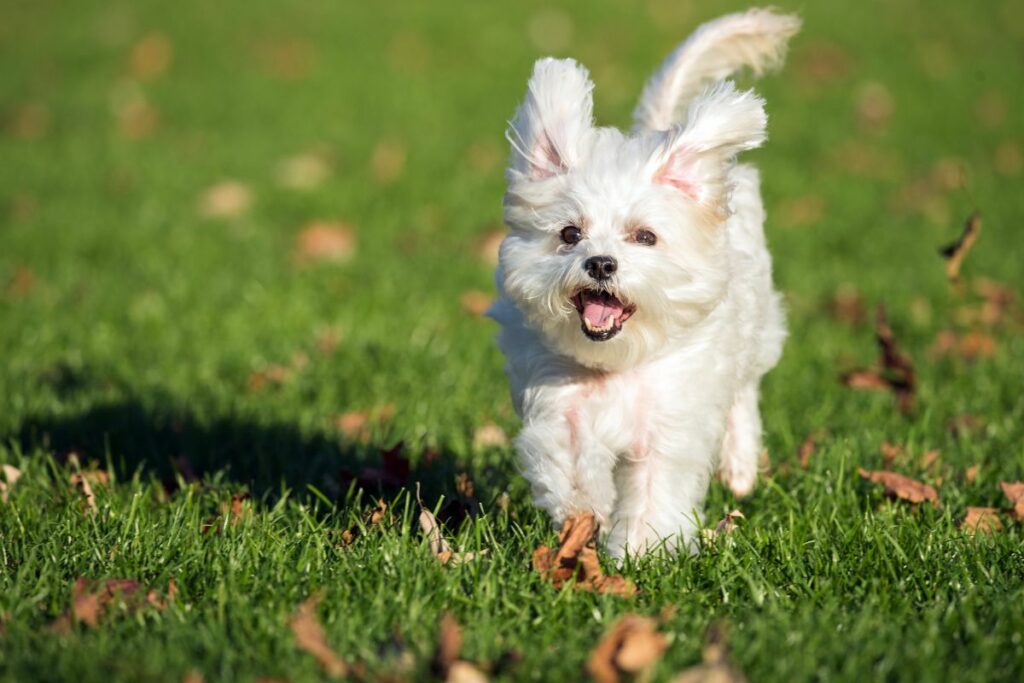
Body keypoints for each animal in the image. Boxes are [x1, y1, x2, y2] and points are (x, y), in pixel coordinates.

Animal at [487, 7, 798, 557]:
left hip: (754, 327)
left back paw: (739, 466)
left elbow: (655, 487)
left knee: (743, 393)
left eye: (645, 236)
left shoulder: (670, 420)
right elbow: (570, 465)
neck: (618, 364)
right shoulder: (559, 403)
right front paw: (583, 517)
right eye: (570, 234)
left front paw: (639, 552)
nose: (601, 264)